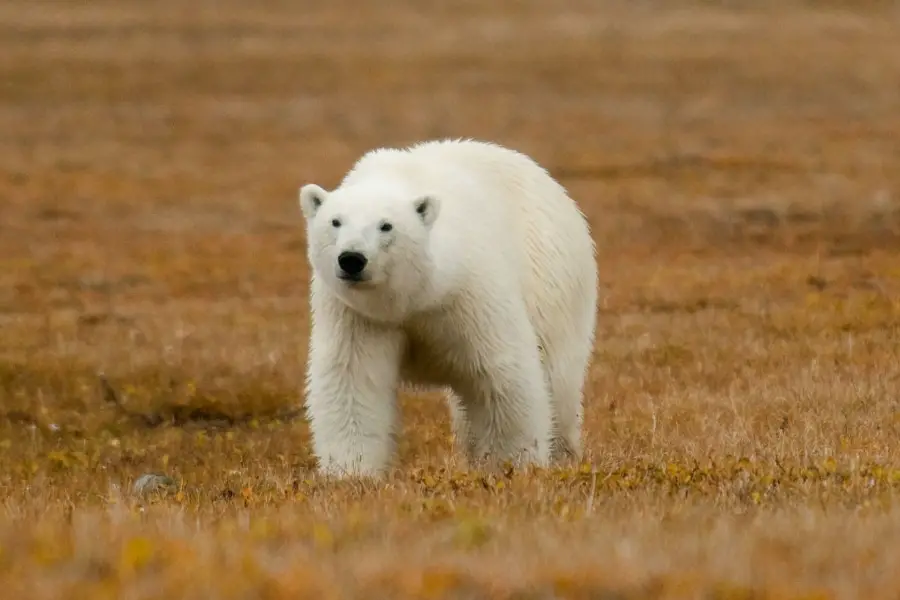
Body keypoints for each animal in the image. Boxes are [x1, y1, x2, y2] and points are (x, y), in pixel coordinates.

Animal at [298, 137, 600, 478]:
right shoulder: (356, 315)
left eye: (386, 226)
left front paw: (512, 465)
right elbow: (353, 379)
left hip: (554, 283)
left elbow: (502, 375)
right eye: (335, 221)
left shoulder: (470, 293)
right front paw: (351, 472)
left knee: (558, 377)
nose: (351, 259)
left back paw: (563, 453)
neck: (420, 296)